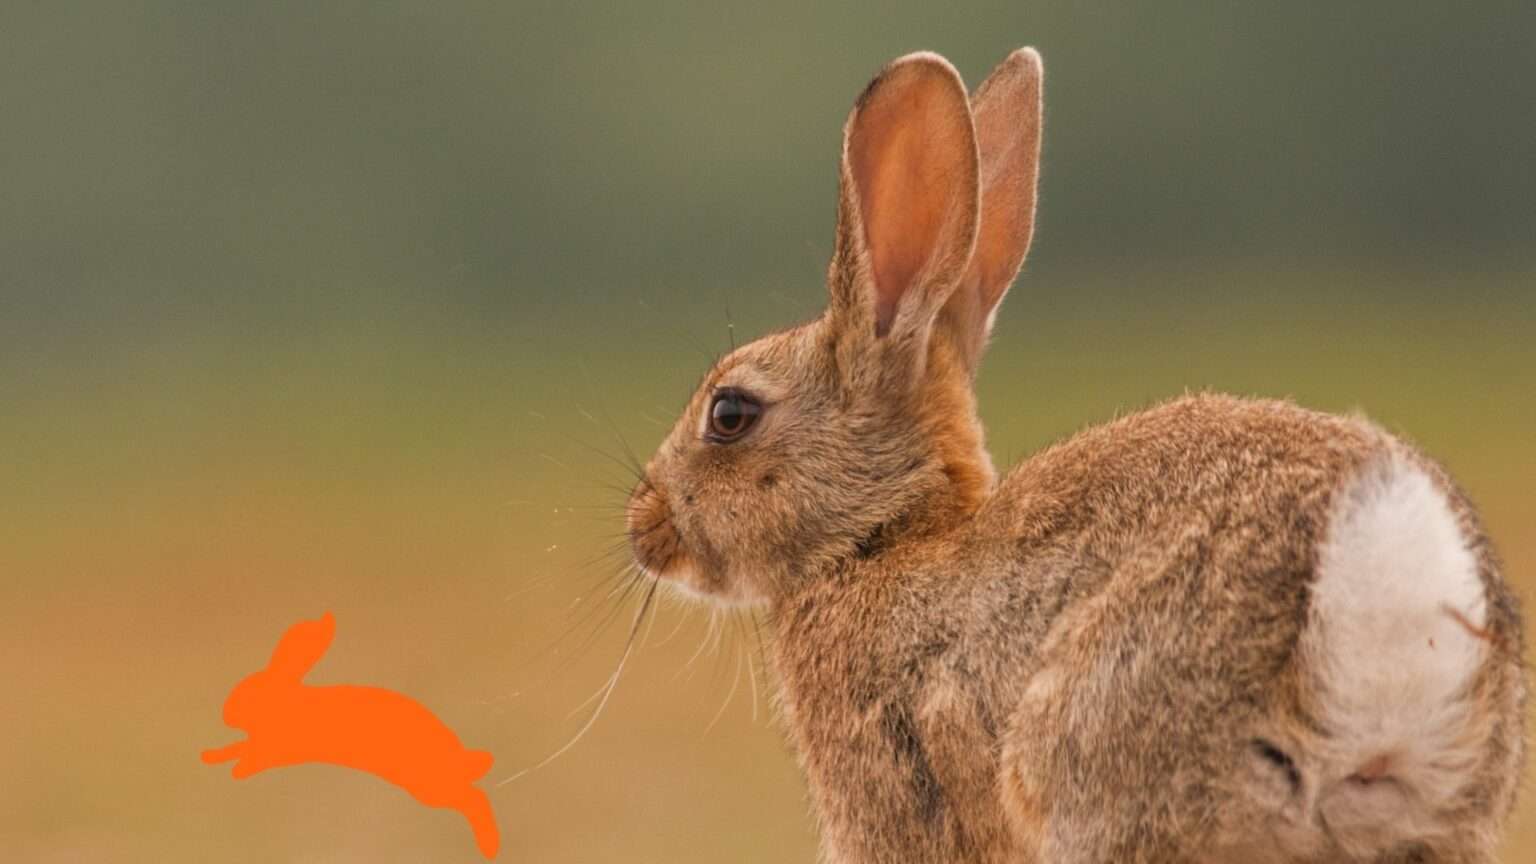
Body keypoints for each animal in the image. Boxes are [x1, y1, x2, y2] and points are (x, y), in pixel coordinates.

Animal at [201, 612, 500, 859]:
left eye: (250, 693)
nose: (226, 714)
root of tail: (464, 757)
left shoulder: (273, 748)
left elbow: (246, 759)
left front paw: (232, 767)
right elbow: (236, 749)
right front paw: (210, 755)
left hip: (432, 786)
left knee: (475, 798)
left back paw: (491, 846)